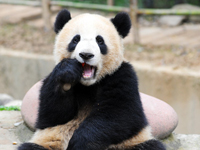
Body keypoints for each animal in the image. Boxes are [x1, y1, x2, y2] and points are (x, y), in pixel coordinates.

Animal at [17, 9, 166, 150]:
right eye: (75, 39)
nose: (86, 55)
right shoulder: (50, 81)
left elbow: (120, 114)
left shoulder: (122, 76)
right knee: (30, 147)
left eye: (100, 41)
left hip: (130, 143)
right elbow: (52, 116)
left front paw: (79, 142)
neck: (88, 84)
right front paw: (67, 76)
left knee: (152, 146)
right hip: (49, 142)